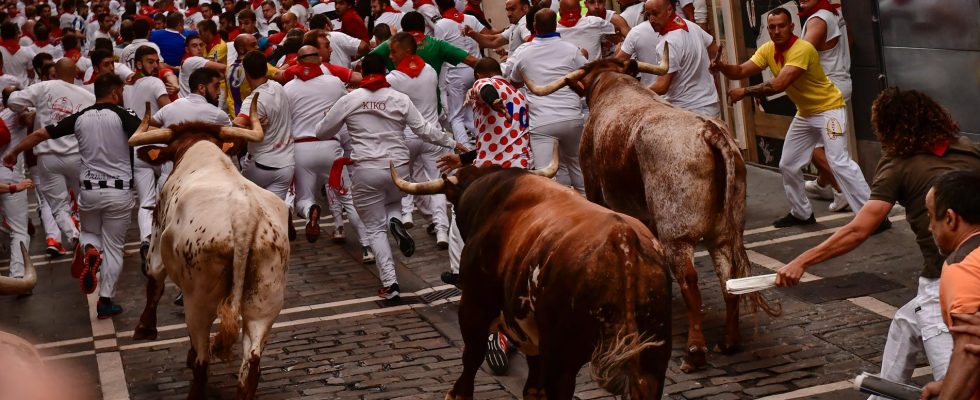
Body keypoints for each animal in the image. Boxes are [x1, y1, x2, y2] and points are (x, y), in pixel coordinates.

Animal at [126, 97, 290, 400]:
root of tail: (244, 215)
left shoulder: (156, 240)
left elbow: (154, 283)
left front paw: (144, 328)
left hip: (198, 299)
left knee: (203, 358)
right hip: (266, 298)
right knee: (251, 362)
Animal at [390, 151, 672, 400]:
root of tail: (622, 237)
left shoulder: (475, 306)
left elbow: (472, 356)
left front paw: (457, 394)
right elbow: (533, 388)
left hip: (562, 357)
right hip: (654, 356)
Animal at [524, 49, 776, 372]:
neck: (613, 84)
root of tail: (708, 131)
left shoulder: (594, 188)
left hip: (677, 235)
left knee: (690, 280)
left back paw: (695, 351)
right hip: (723, 233)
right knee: (728, 277)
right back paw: (729, 341)